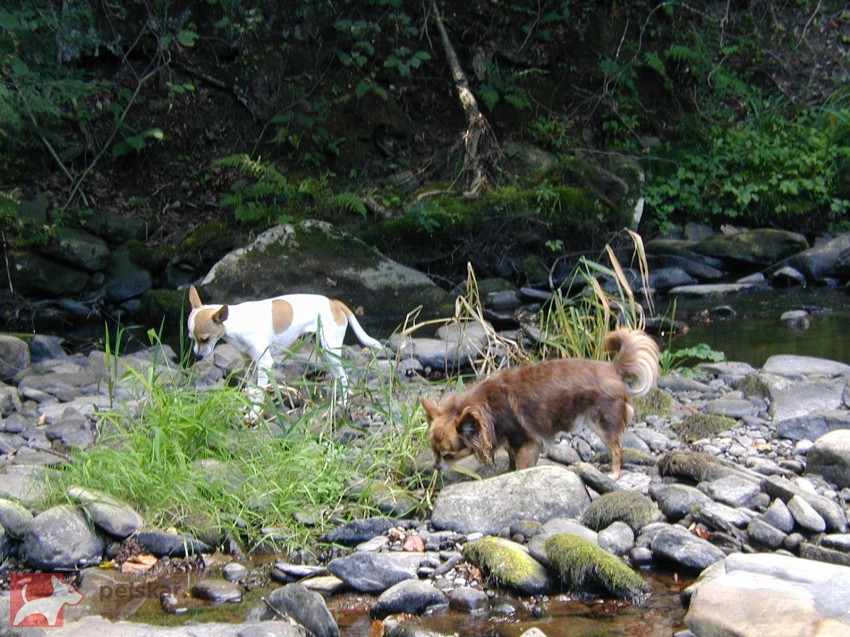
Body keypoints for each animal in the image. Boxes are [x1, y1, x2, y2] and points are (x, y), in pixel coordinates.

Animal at [188, 284, 380, 414]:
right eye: (191, 338)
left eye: (204, 339)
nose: (198, 355)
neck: (236, 323)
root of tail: (334, 303)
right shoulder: (249, 364)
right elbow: (250, 390)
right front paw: (245, 407)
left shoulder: (264, 363)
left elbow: (259, 392)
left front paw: (253, 415)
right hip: (324, 352)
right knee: (337, 377)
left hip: (330, 350)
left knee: (343, 378)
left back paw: (343, 403)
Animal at [420, 328, 660, 476]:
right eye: (434, 452)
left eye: (449, 455)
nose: (435, 467)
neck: (487, 408)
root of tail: (614, 368)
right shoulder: (511, 443)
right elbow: (511, 460)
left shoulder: (526, 443)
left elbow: (522, 465)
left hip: (603, 423)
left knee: (617, 449)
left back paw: (614, 474)